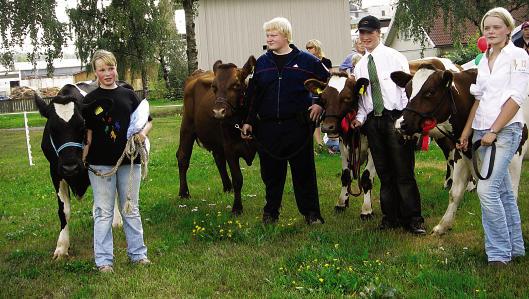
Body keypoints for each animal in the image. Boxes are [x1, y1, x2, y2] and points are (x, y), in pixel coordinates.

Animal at [176, 56, 256, 216]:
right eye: (214, 87)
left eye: (236, 85)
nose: (218, 112)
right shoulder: (231, 149)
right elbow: (238, 179)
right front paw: (237, 208)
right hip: (187, 127)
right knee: (183, 157)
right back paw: (184, 193)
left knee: (218, 159)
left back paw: (227, 187)